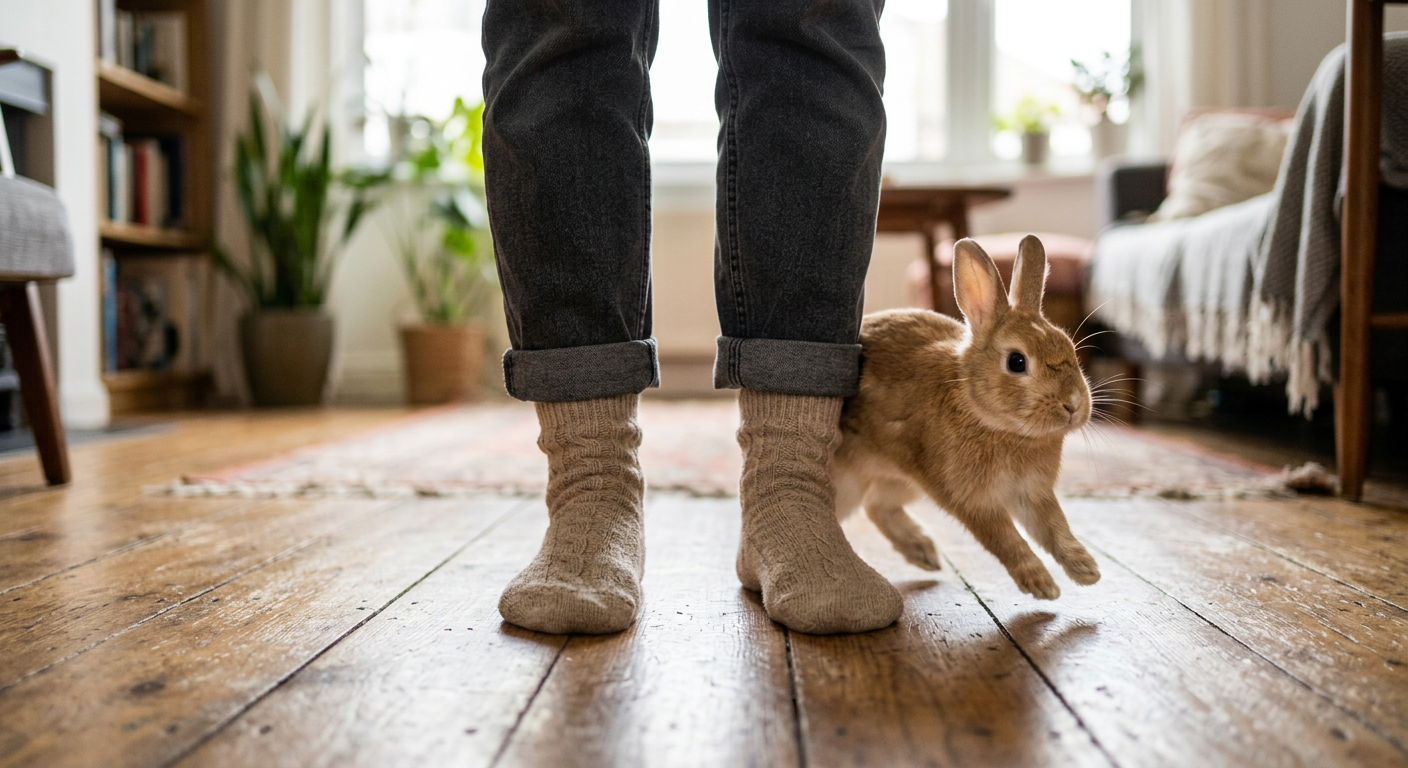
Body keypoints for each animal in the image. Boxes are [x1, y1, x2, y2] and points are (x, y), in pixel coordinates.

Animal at [833, 235, 1101, 599]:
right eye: (1017, 362)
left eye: (1069, 348)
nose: (1073, 404)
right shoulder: (969, 498)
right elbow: (1005, 539)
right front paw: (1041, 584)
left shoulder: (1032, 493)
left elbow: (1054, 528)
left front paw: (1086, 570)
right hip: (852, 483)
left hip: (902, 480)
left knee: (877, 505)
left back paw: (924, 554)